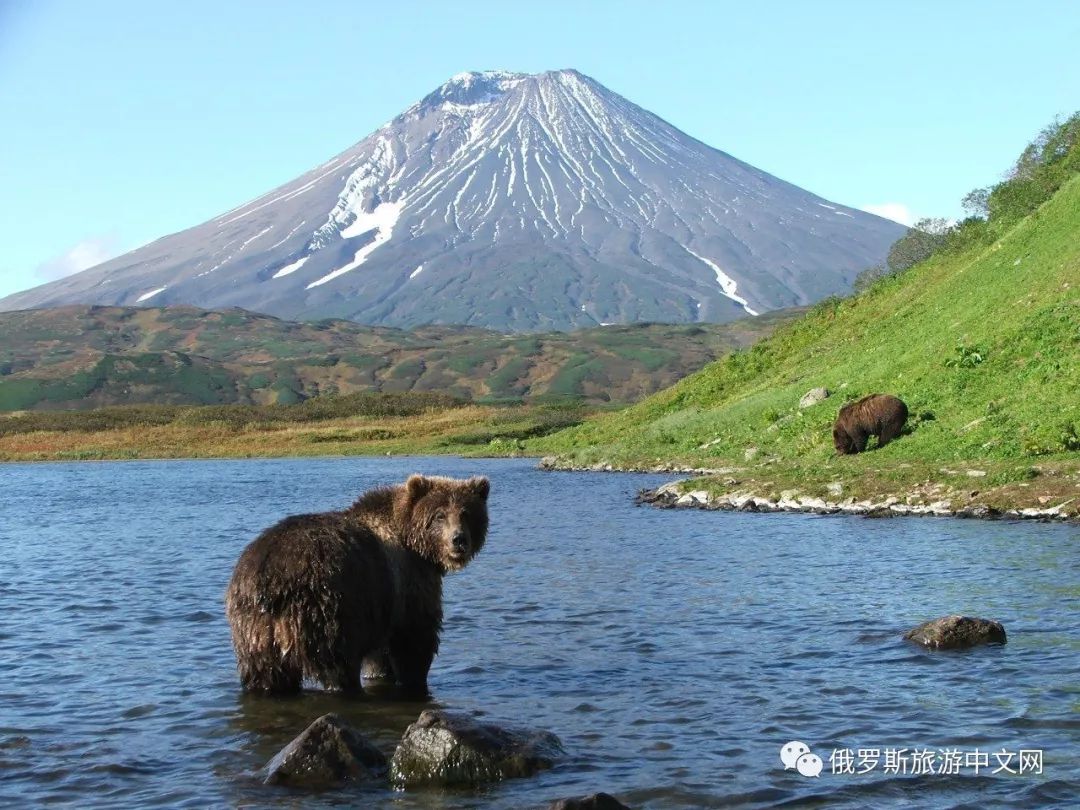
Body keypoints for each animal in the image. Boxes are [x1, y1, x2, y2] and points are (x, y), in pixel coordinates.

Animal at [225, 475, 492, 699]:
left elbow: (380, 654)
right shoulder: (407, 583)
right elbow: (415, 638)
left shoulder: (382, 602)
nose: (459, 540)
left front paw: (381, 673)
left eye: (467, 513)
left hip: (253, 628)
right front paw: (414, 678)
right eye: (439, 515)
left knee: (265, 674)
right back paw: (345, 687)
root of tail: (270, 579)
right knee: (337, 663)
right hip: (326, 608)